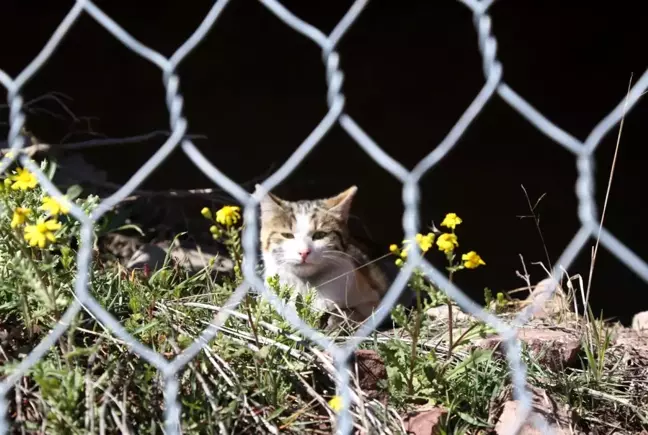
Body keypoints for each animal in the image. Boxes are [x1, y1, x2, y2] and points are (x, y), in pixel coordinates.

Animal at [256, 185, 390, 330]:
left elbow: (357, 313)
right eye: (287, 235)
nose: (304, 252)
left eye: (320, 235)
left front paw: (336, 319)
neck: (308, 284)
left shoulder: (374, 299)